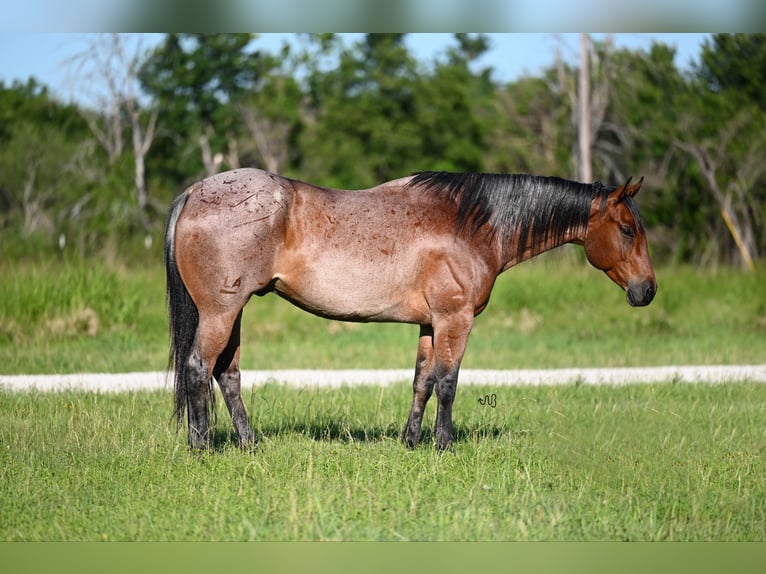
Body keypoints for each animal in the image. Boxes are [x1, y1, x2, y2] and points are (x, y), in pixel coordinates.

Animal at [165, 169, 656, 452]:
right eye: (627, 229)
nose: (647, 290)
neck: (473, 223)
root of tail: (193, 192)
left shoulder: (429, 323)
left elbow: (423, 381)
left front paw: (411, 441)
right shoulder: (455, 320)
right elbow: (449, 383)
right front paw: (444, 446)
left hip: (235, 312)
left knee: (227, 374)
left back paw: (249, 445)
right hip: (221, 312)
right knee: (198, 368)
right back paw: (201, 448)